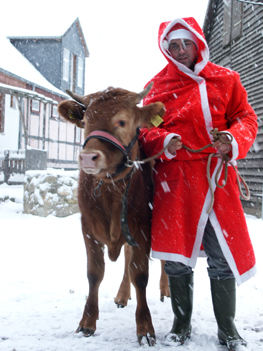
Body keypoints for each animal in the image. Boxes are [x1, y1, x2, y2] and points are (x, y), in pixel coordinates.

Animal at [58, 84, 167, 346]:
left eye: (122, 121)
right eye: (85, 121)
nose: (88, 157)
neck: (110, 189)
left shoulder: (142, 228)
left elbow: (141, 276)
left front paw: (145, 327)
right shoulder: (88, 227)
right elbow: (94, 273)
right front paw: (87, 322)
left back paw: (165, 289)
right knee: (126, 258)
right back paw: (122, 295)